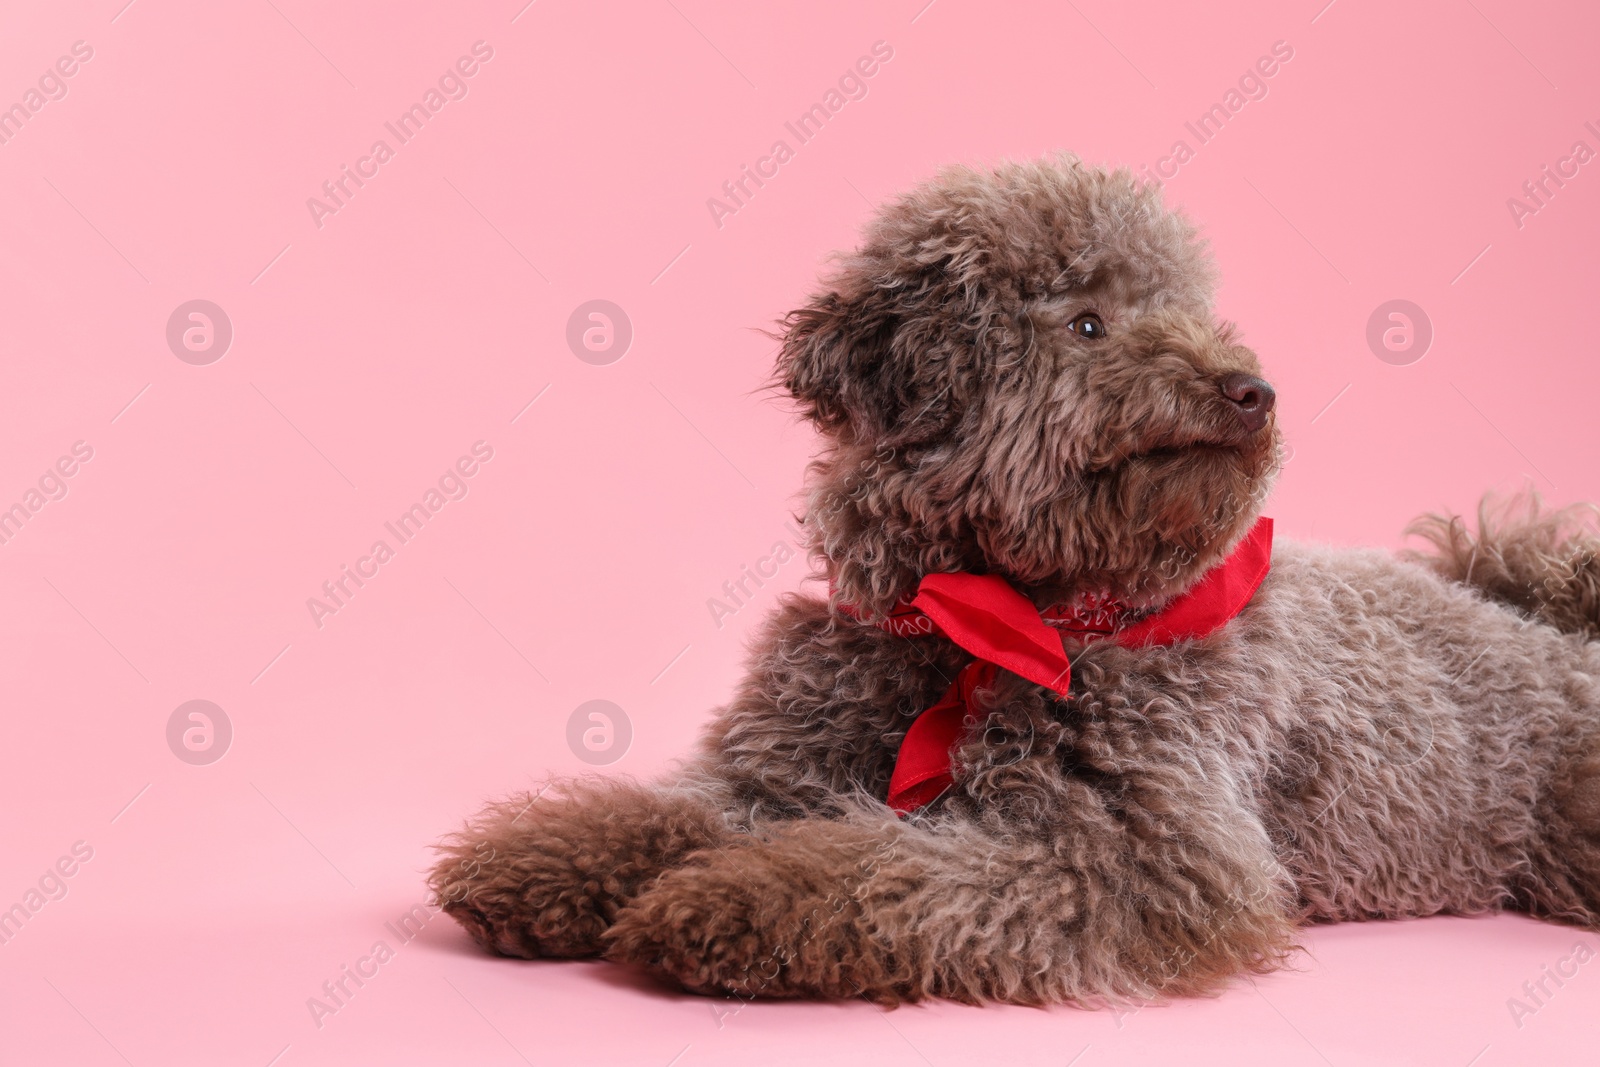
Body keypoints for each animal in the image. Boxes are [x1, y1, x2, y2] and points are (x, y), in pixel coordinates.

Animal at [425, 154, 1600, 1004]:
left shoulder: (1136, 857)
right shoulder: (783, 764)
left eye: (1191, 310)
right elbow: (678, 808)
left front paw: (735, 902)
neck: (985, 613)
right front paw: (550, 853)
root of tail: (1553, 626)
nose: (1249, 389)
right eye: (1085, 321)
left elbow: (881, 872)